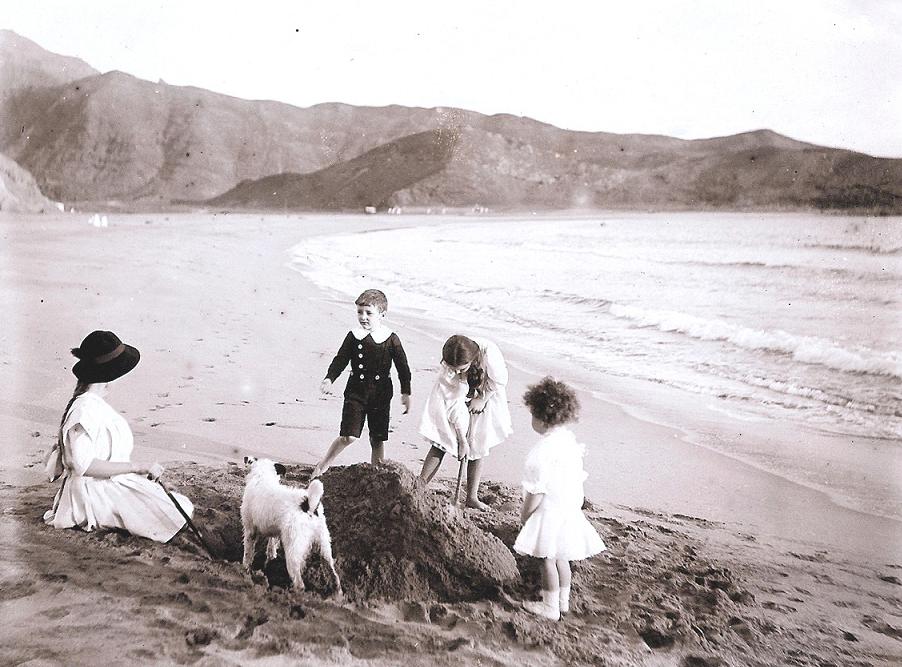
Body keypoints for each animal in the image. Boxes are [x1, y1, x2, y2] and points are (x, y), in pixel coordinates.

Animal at [240, 454, 342, 596]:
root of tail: (309, 506)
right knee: (334, 576)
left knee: (299, 583)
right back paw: (337, 595)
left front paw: (245, 569)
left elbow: (248, 553)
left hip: (293, 550)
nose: (245, 457)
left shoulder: (250, 531)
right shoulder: (275, 533)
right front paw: (269, 562)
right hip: (324, 547)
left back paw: (291, 593)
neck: (262, 476)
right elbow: (271, 550)